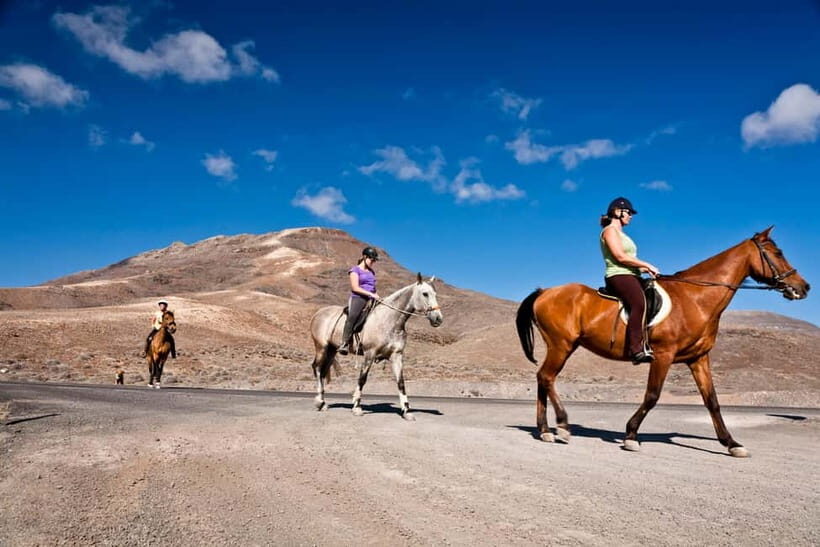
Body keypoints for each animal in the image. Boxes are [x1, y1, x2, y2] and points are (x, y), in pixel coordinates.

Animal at [310, 273, 444, 420]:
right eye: (425, 294)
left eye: (435, 294)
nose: (438, 318)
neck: (390, 320)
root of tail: (318, 313)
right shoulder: (370, 353)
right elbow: (362, 379)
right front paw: (357, 407)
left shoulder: (396, 355)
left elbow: (400, 382)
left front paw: (406, 411)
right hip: (321, 347)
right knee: (317, 368)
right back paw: (319, 402)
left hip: (332, 350)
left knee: (323, 371)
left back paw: (323, 403)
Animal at [516, 227, 809, 457]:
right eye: (778, 253)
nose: (804, 287)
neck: (695, 297)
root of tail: (545, 292)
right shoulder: (663, 355)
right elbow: (653, 395)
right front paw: (631, 436)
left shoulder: (698, 358)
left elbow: (712, 401)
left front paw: (732, 443)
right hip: (562, 345)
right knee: (547, 377)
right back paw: (562, 426)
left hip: (562, 346)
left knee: (543, 378)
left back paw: (545, 431)